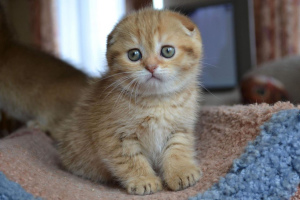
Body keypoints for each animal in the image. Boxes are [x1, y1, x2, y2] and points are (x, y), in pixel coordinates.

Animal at [56, 8, 202, 195]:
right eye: (134, 55)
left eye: (168, 51)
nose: (151, 67)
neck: (157, 101)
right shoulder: (114, 136)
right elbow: (130, 160)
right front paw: (143, 180)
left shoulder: (180, 128)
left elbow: (178, 150)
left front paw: (181, 172)